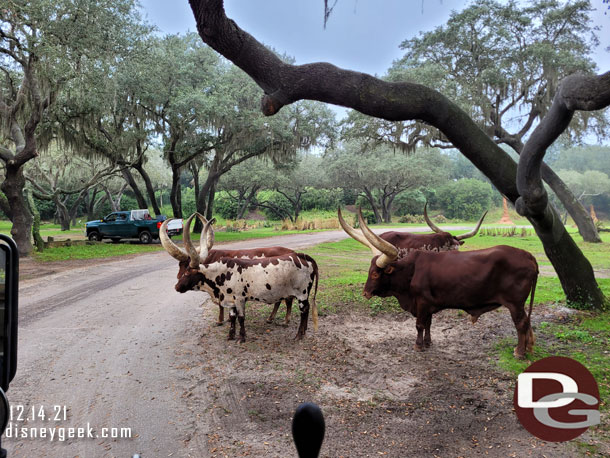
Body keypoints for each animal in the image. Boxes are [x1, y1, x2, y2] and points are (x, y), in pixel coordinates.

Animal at [160, 216, 294, 326]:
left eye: (187, 268)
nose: (178, 281)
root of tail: (292, 252)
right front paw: (229, 318)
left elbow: (221, 305)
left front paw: (220, 320)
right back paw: (271, 318)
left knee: (288, 300)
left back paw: (285, 320)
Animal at [342, 209, 536, 360]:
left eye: (375, 273)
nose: (365, 293)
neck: (411, 270)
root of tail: (528, 256)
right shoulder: (427, 304)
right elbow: (428, 323)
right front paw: (427, 342)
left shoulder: (421, 302)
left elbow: (420, 324)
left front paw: (418, 345)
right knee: (526, 322)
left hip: (515, 304)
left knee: (521, 323)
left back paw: (519, 352)